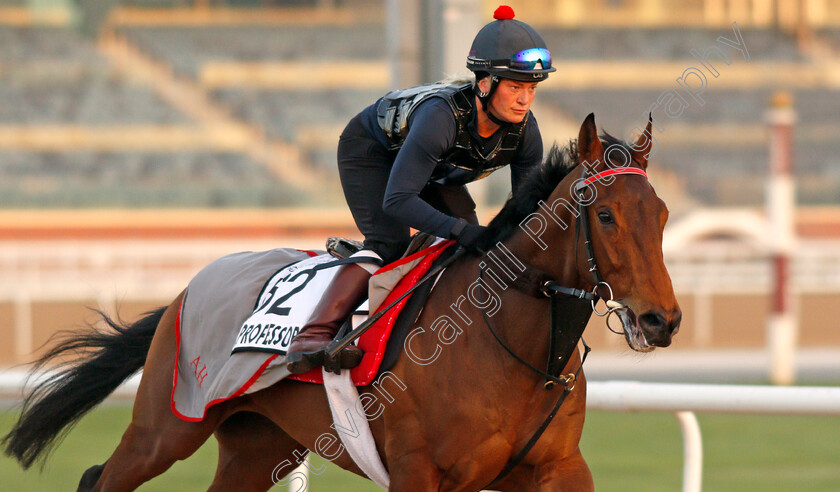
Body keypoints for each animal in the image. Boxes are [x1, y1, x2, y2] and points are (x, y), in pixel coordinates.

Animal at [1, 113, 684, 490]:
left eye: (662, 213)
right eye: (605, 215)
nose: (663, 319)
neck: (516, 348)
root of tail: (186, 290)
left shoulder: (556, 468)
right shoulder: (419, 473)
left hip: (258, 445)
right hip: (166, 426)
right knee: (104, 478)